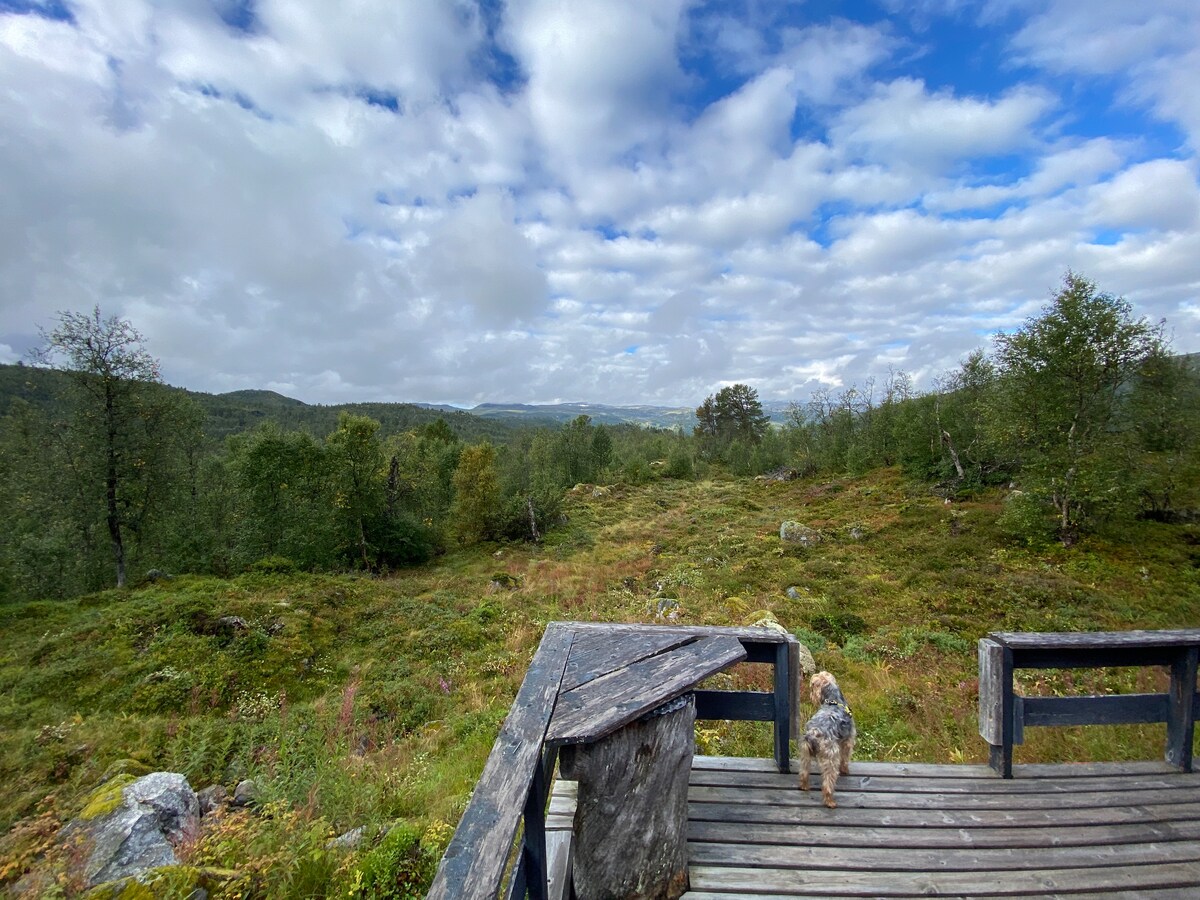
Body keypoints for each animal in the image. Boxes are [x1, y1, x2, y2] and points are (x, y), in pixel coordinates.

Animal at [796, 672, 854, 811]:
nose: (811, 695)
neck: (833, 701)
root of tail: (814, 733)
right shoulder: (848, 741)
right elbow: (845, 758)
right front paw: (845, 770)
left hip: (805, 752)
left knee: (804, 772)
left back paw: (804, 786)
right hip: (831, 757)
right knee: (828, 783)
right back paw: (830, 802)